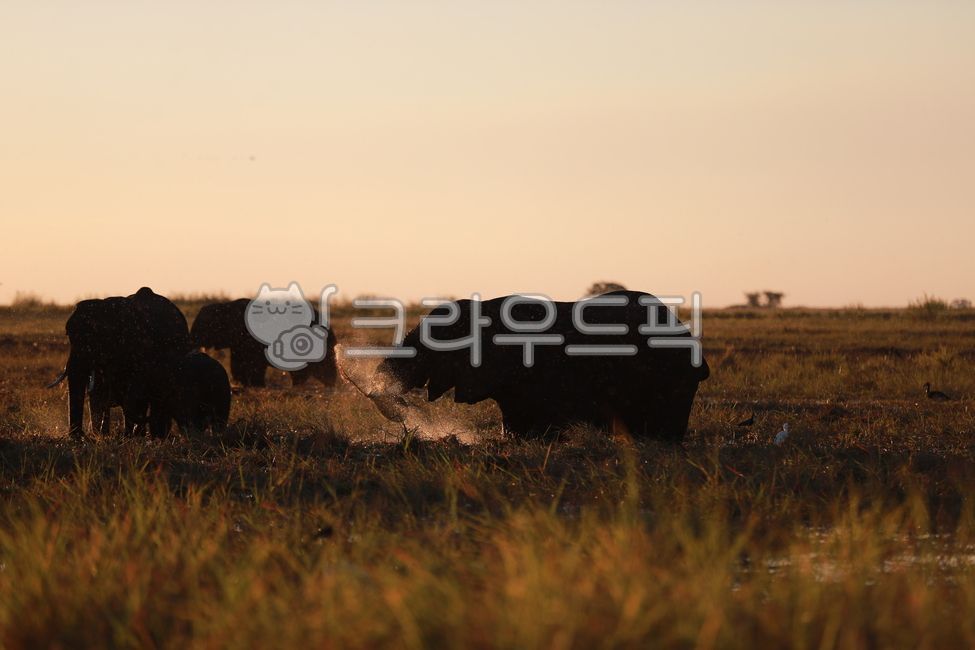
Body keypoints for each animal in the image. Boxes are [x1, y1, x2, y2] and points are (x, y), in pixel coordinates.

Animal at [52, 287, 191, 438]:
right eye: (68, 335)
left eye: (96, 337)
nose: (81, 436)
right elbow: (100, 391)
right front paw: (102, 435)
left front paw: (129, 435)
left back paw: (154, 435)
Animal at [190, 298, 338, 388]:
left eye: (204, 326)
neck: (226, 305)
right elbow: (239, 362)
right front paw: (244, 385)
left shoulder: (250, 338)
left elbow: (254, 363)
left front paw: (255, 386)